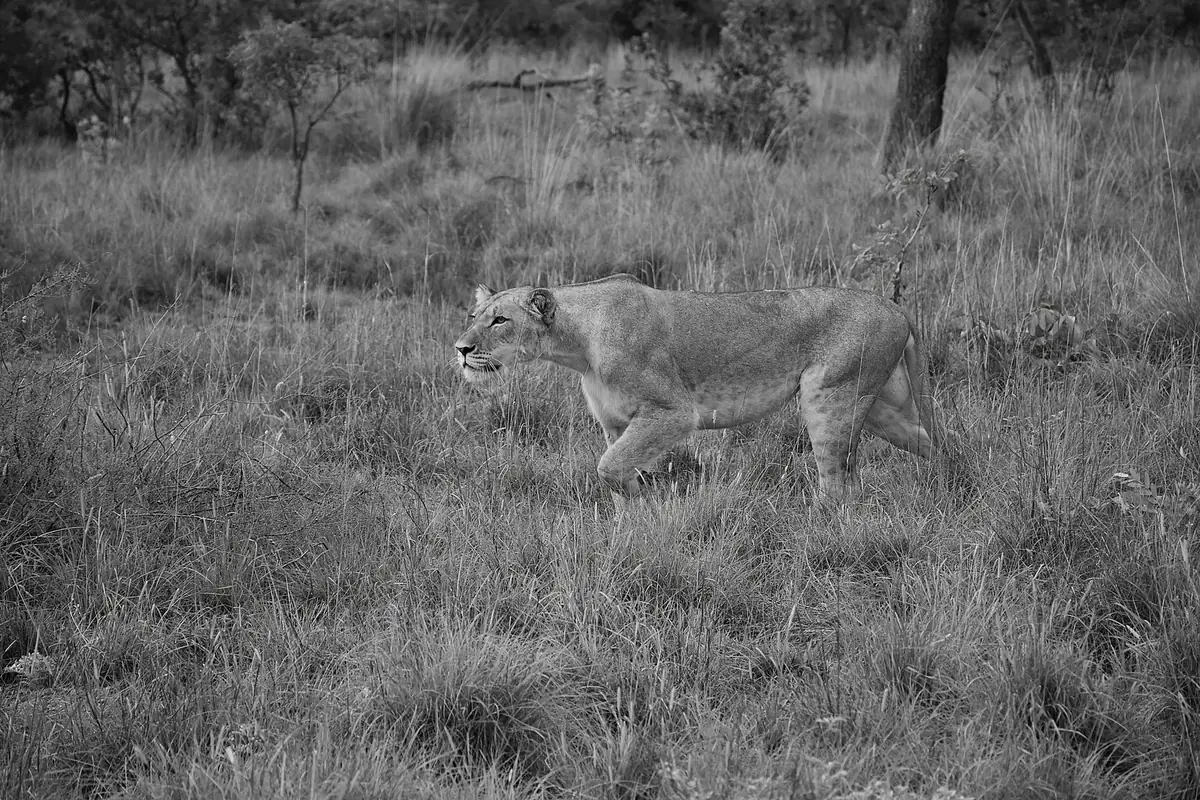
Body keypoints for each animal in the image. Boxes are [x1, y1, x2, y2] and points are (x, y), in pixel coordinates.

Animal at [454, 274, 938, 501]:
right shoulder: (617, 423)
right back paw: (947, 484)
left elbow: (609, 467)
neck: (578, 343)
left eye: (500, 320)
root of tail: (895, 307)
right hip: (883, 408)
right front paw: (636, 517)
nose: (461, 349)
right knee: (934, 444)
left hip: (831, 398)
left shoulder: (671, 412)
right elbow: (621, 467)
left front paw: (643, 504)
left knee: (837, 485)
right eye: (474, 316)